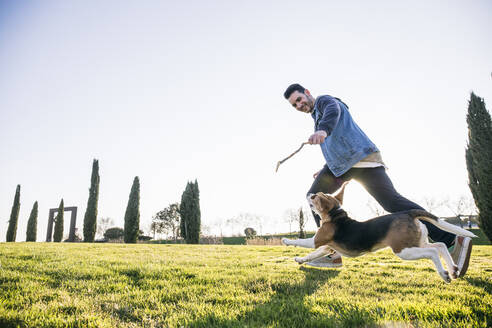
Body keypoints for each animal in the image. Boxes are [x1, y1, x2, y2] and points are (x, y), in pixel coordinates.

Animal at [284, 186, 476, 284]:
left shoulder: (316, 240)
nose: (309, 192)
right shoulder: (325, 247)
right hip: (416, 242)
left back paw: (444, 274)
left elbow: (302, 242)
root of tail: (408, 213)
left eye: (314, 197)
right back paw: (453, 269)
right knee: (441, 246)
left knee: (433, 252)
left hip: (403, 250)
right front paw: (300, 260)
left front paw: (286, 240)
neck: (335, 215)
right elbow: (311, 255)